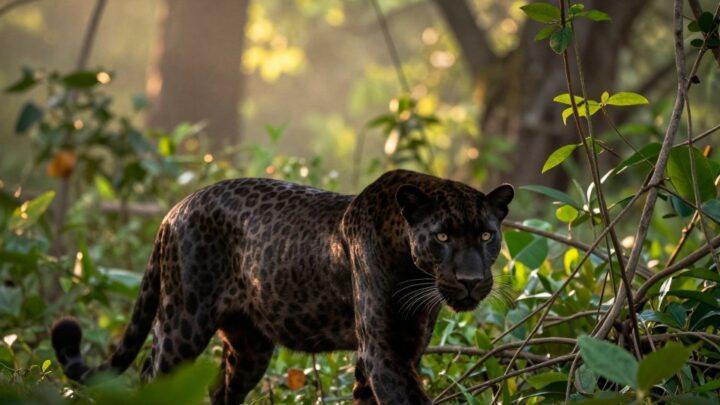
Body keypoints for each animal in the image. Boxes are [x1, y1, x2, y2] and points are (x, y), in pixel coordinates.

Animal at [51, 169, 513, 404]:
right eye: (443, 237)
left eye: (487, 235)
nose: (471, 281)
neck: (415, 274)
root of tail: (174, 209)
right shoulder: (384, 351)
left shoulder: (401, 350)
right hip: (181, 325)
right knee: (150, 379)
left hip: (250, 345)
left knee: (221, 390)